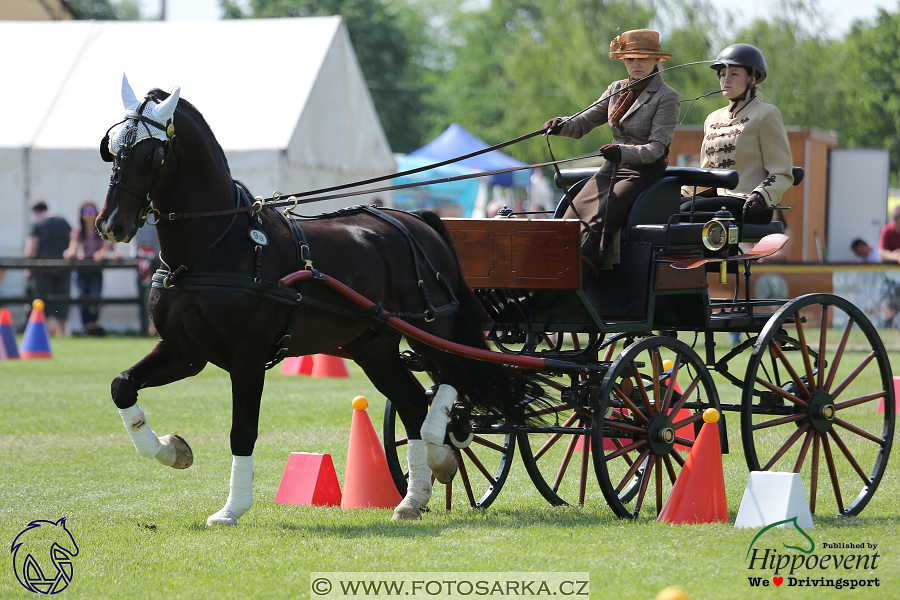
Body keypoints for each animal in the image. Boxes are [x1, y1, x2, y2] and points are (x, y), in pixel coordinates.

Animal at [96, 75, 540, 524]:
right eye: (111, 147)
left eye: (151, 154)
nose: (110, 224)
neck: (212, 246)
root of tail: (418, 219)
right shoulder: (186, 351)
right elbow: (122, 387)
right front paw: (172, 450)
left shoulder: (247, 354)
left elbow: (243, 430)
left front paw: (232, 509)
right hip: (374, 347)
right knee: (415, 404)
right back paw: (413, 498)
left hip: (430, 328)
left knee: (455, 375)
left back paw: (443, 447)